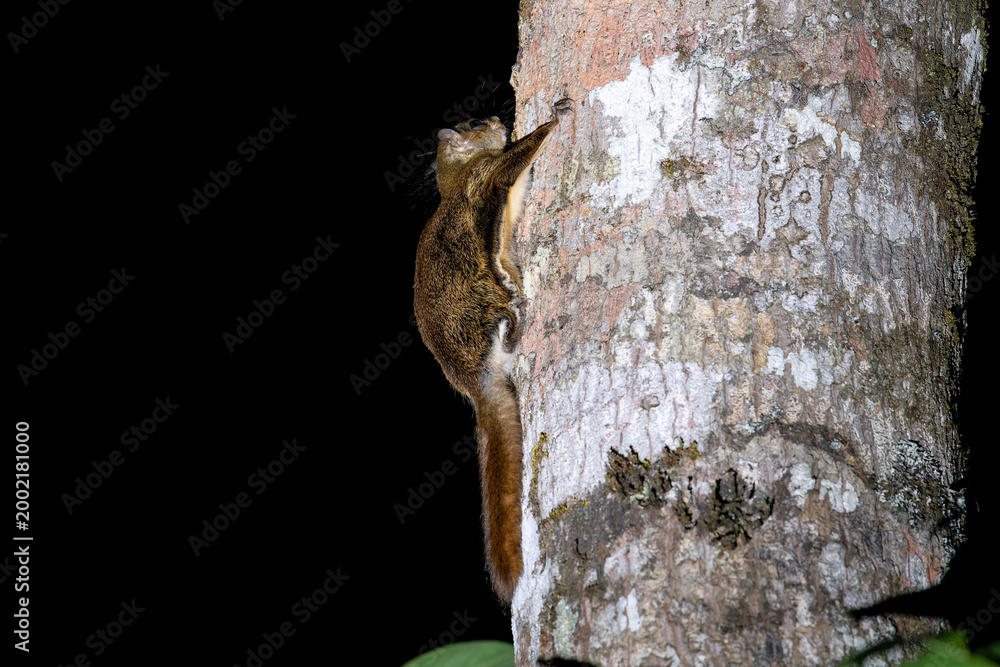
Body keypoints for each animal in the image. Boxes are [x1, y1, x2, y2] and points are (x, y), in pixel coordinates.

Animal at [414, 98, 572, 603]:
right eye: (475, 123)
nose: (500, 120)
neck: (456, 178)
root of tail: (475, 383)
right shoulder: (491, 175)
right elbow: (515, 161)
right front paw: (554, 118)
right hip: (487, 305)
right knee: (505, 313)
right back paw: (519, 318)